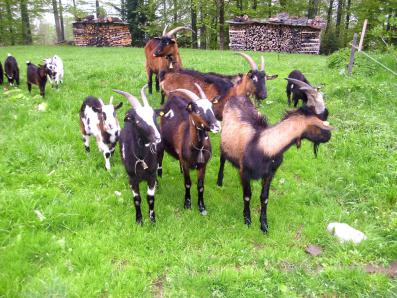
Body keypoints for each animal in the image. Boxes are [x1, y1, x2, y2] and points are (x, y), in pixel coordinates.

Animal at [112, 85, 162, 225]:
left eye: (154, 117)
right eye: (138, 122)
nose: (157, 138)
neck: (141, 158)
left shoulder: (151, 175)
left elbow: (150, 197)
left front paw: (152, 220)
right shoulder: (133, 178)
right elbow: (137, 199)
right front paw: (139, 220)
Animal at [158, 82, 220, 215]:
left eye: (212, 108)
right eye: (197, 110)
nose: (217, 126)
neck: (199, 148)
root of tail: (172, 96)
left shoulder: (203, 165)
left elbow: (200, 186)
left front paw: (202, 207)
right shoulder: (186, 163)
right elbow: (187, 183)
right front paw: (187, 204)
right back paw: (159, 175)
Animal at [215, 94, 332, 234]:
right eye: (319, 124)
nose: (329, 136)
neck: (265, 145)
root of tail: (236, 96)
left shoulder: (270, 173)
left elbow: (264, 198)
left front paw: (264, 225)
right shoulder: (244, 172)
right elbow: (247, 196)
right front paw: (247, 220)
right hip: (224, 142)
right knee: (222, 158)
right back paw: (219, 181)